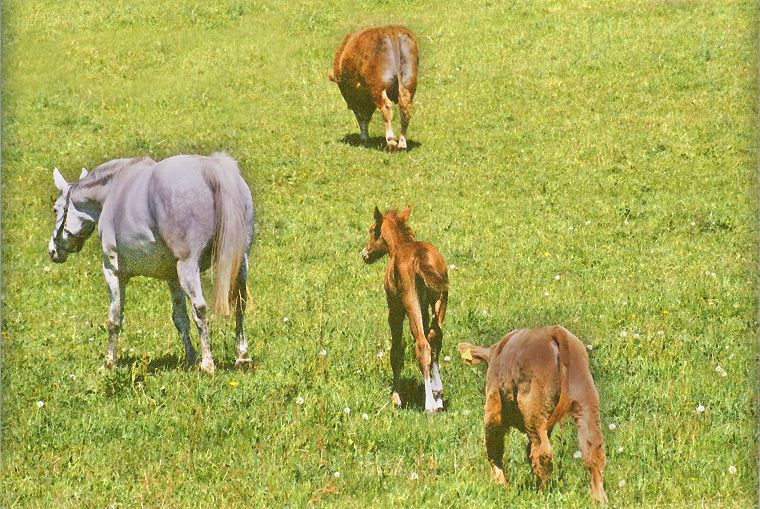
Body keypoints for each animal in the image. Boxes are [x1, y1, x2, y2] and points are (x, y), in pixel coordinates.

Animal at [48, 152, 255, 374]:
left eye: (56, 209)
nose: (53, 251)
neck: (112, 190)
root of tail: (211, 169)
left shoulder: (113, 271)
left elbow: (114, 319)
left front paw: (109, 362)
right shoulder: (172, 277)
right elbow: (180, 318)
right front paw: (190, 358)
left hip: (188, 268)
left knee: (200, 309)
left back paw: (208, 364)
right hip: (240, 264)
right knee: (239, 304)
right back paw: (242, 356)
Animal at [360, 204, 448, 410]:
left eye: (372, 230)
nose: (364, 254)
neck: (398, 248)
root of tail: (422, 257)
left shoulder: (395, 309)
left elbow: (396, 352)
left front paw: (396, 397)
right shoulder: (424, 308)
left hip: (410, 302)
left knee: (422, 345)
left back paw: (430, 404)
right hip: (440, 299)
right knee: (434, 339)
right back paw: (438, 396)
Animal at [458, 326, 604, 504]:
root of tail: (554, 331)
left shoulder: (493, 406)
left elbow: (494, 448)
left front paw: (500, 485)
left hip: (533, 413)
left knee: (541, 451)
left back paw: (541, 493)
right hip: (586, 403)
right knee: (593, 450)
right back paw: (599, 500)